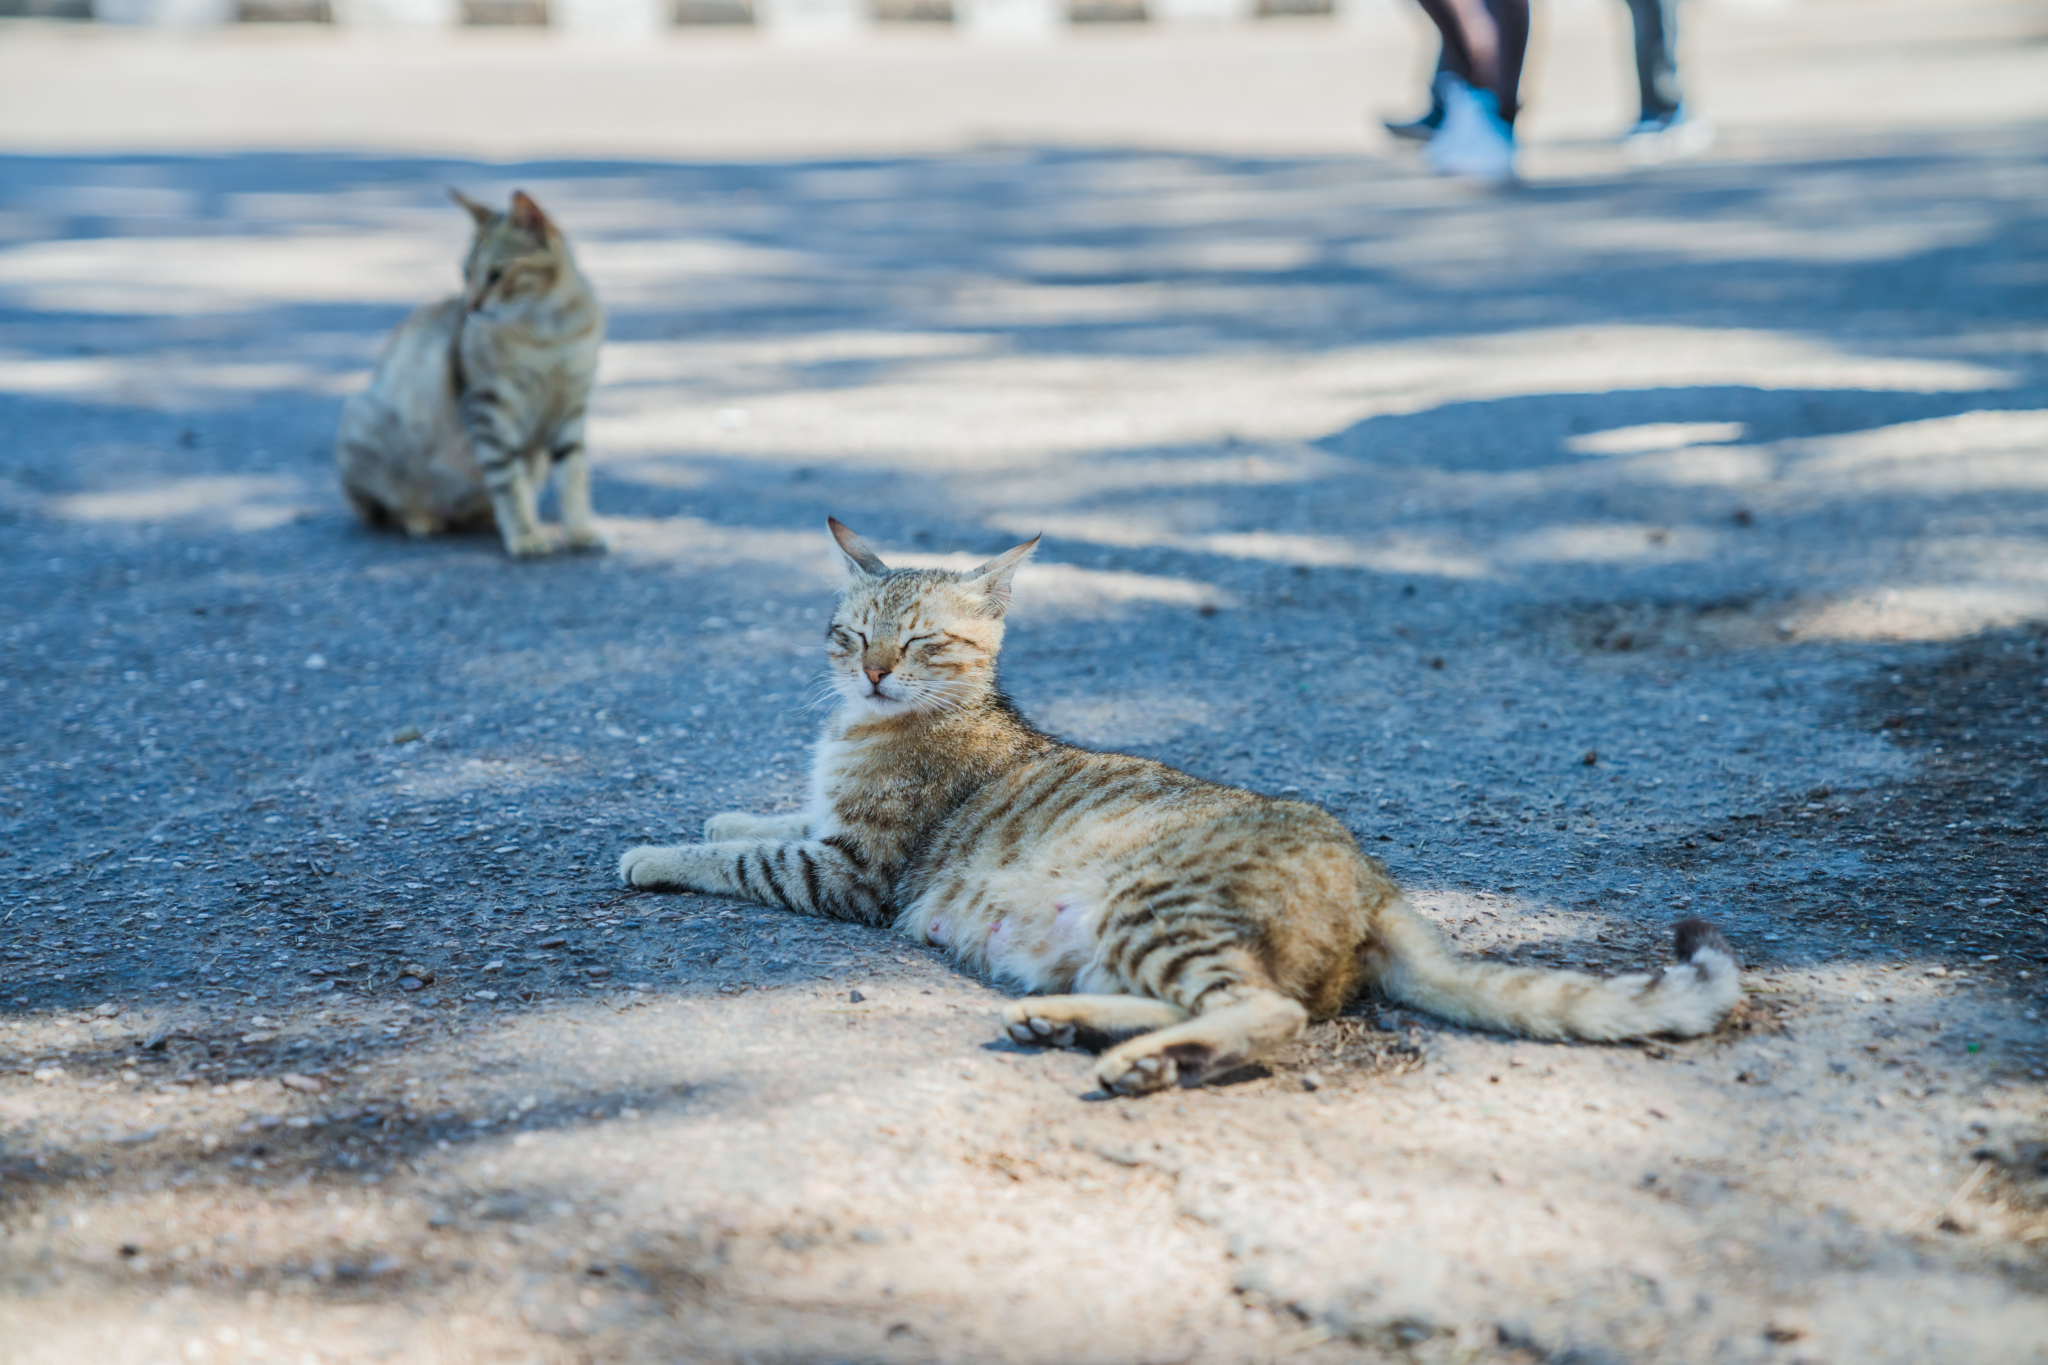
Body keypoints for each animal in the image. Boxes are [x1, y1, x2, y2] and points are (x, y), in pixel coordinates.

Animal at [335, 189, 602, 556]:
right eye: (466, 273)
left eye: (496, 274)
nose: (472, 305)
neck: (550, 331)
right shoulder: (487, 409)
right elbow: (506, 478)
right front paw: (525, 535)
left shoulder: (572, 407)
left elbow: (572, 475)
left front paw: (579, 531)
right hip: (366, 423)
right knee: (377, 507)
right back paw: (419, 517)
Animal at [614, 517, 1736, 1096]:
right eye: (850, 635)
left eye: (923, 640)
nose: (876, 673)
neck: (868, 727)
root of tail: (1376, 884)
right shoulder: (822, 829)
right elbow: (765, 820)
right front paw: (719, 813)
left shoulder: (850, 871)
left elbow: (745, 858)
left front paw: (656, 849)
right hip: (1117, 937)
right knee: (1220, 999)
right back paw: (1073, 1025)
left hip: (1157, 902)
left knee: (1269, 1011)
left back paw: (1141, 1059)